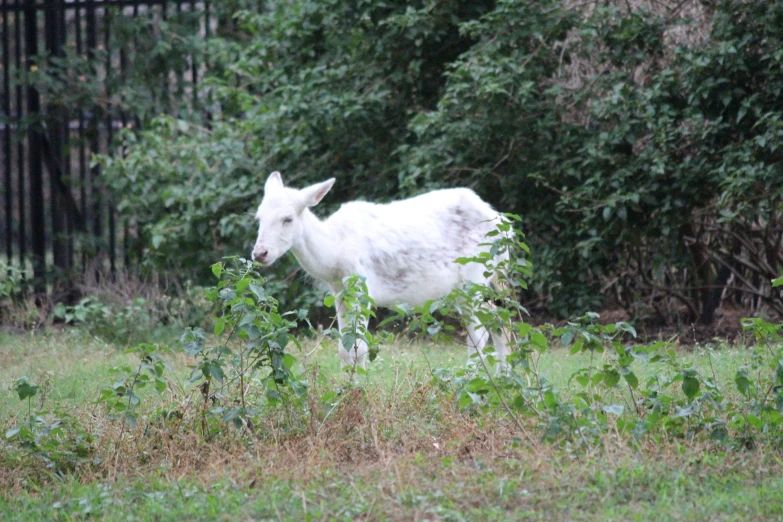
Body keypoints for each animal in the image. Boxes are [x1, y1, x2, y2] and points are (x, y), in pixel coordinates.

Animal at [248, 171, 512, 366]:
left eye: (288, 218)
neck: (334, 254)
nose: (260, 253)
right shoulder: (340, 292)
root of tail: (505, 226)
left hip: (473, 277)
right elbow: (344, 349)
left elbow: (360, 348)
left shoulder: (362, 287)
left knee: (480, 333)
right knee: (499, 320)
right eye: (258, 218)